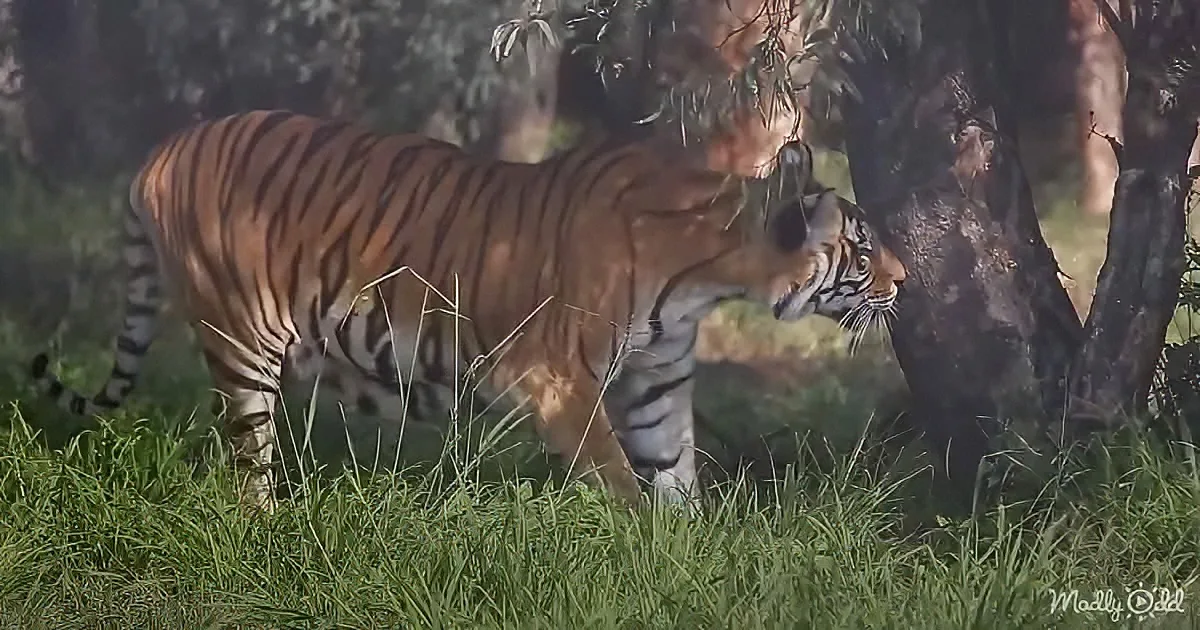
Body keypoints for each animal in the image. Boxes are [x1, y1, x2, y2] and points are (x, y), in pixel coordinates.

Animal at [28, 109, 906, 512]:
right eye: (862, 251)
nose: (905, 282)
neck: (707, 277)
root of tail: (163, 146)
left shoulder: (657, 378)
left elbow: (674, 472)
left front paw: (685, 553)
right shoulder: (556, 377)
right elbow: (620, 477)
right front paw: (646, 547)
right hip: (241, 338)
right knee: (247, 460)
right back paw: (268, 527)